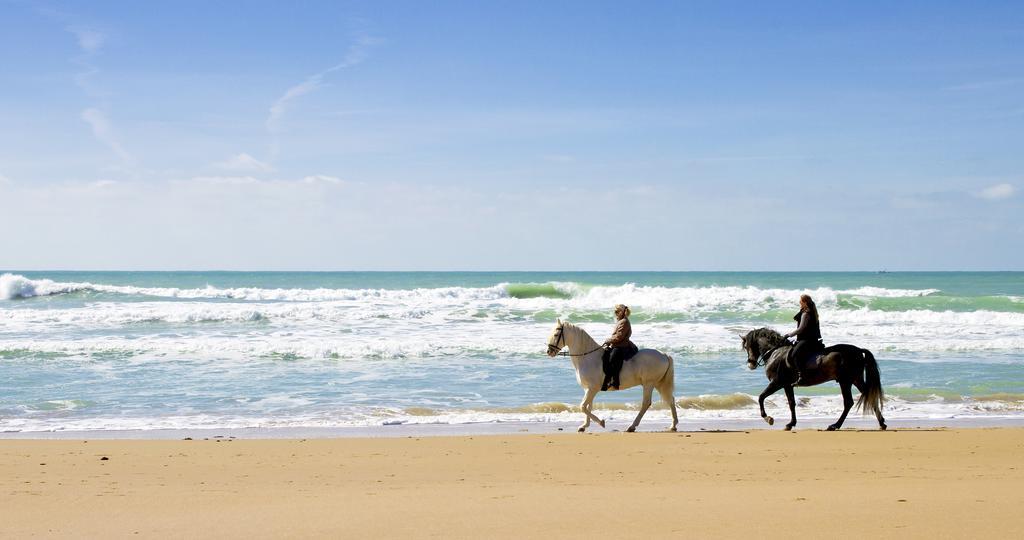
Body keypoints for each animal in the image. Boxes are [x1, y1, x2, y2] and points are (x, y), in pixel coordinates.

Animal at [544, 321, 679, 430]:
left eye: (556, 335)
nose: (549, 351)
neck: (588, 358)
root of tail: (664, 355)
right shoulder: (588, 389)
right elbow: (588, 406)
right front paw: (584, 426)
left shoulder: (592, 388)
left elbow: (583, 406)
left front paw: (601, 422)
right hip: (658, 384)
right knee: (670, 400)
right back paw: (673, 425)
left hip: (649, 384)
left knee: (646, 403)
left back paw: (632, 426)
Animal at [737, 329, 888, 430]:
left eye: (747, 346)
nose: (751, 364)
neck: (776, 352)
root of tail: (858, 350)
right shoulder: (787, 385)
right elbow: (791, 403)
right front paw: (791, 424)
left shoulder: (777, 383)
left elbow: (761, 397)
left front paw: (768, 418)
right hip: (855, 380)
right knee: (869, 396)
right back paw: (881, 423)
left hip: (845, 381)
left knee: (848, 402)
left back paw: (835, 425)